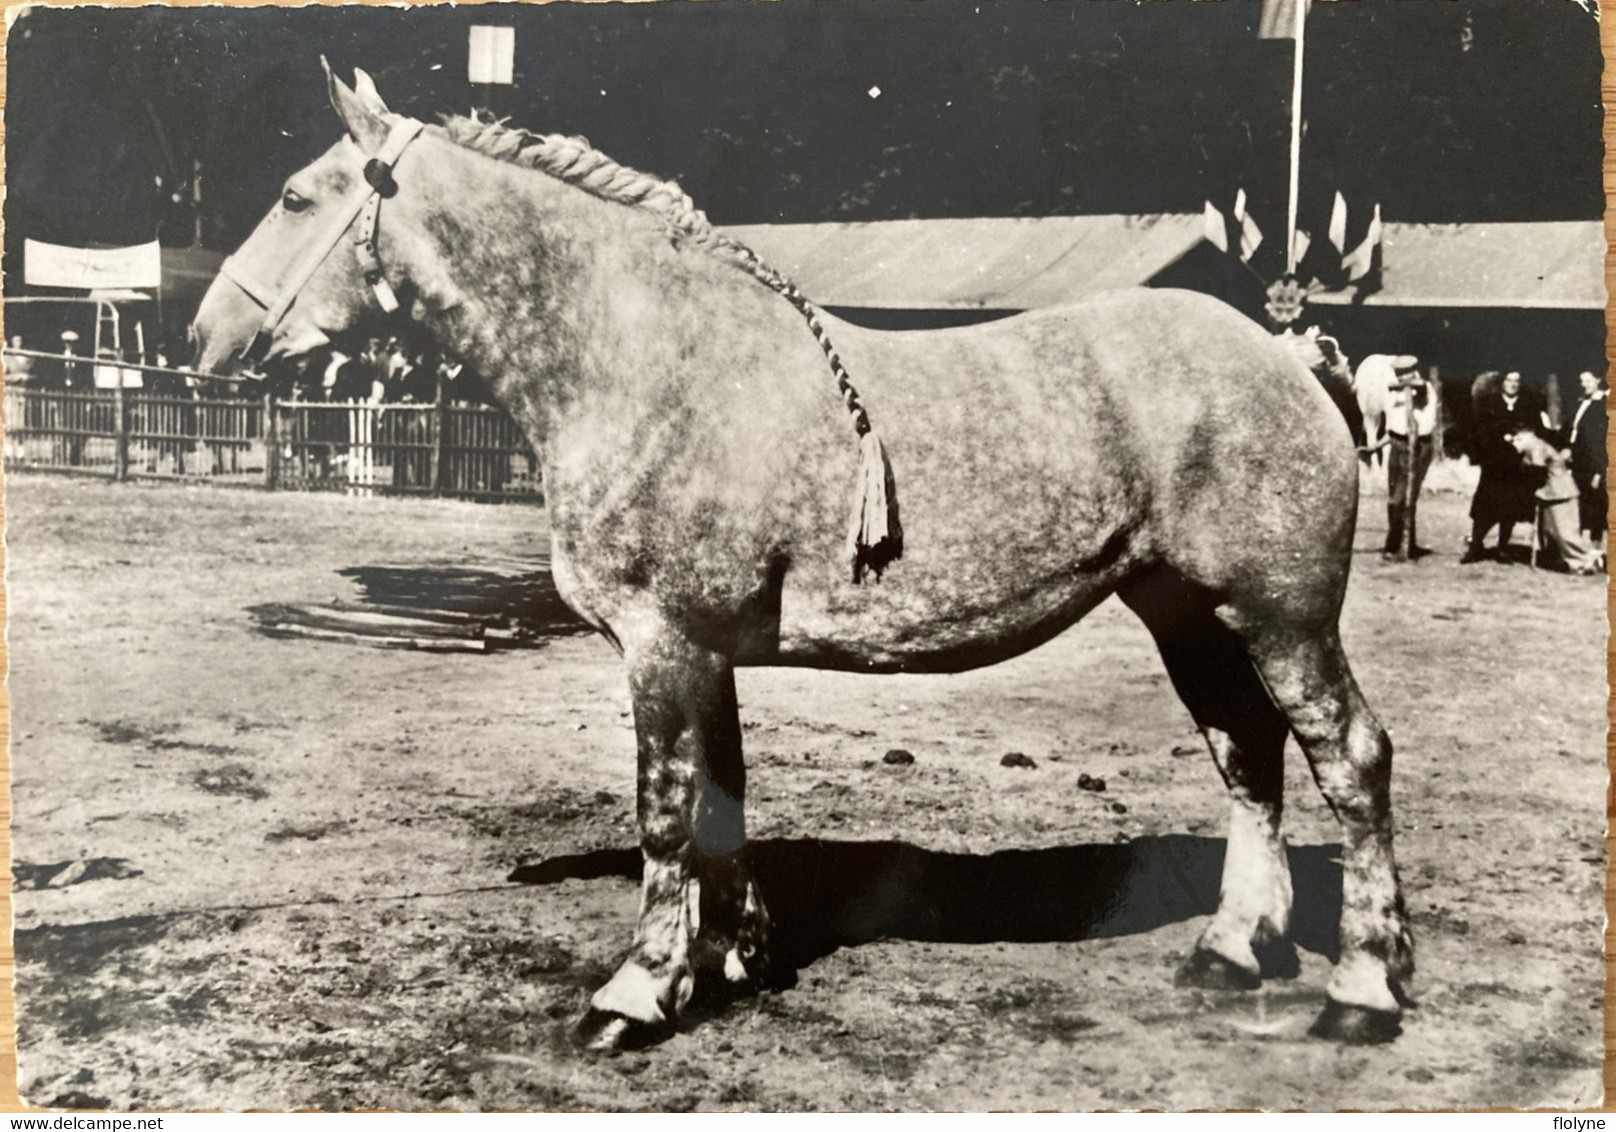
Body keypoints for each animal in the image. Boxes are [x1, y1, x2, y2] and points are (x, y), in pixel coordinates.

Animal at [192, 64, 1415, 1054]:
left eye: (296, 197)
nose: (207, 340)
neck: (649, 361)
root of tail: (1292, 354)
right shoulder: (708, 653)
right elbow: (722, 803)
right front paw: (729, 962)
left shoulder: (658, 645)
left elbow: (665, 813)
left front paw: (635, 994)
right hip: (1183, 611)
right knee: (1248, 753)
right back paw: (1233, 948)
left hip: (1281, 614)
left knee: (1348, 759)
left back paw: (1361, 988)